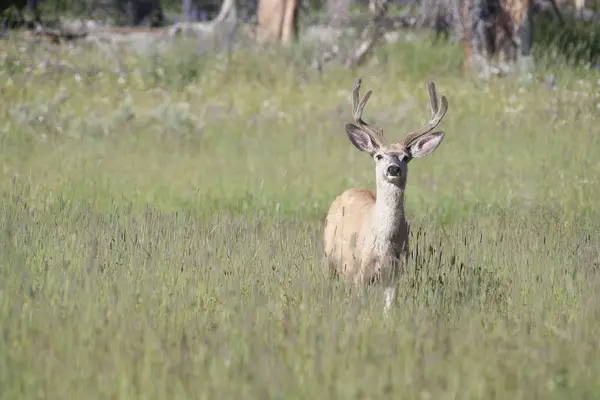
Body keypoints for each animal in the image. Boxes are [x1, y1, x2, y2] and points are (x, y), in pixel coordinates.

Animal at [322, 77, 448, 316]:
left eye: (406, 157)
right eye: (379, 156)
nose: (393, 169)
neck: (383, 244)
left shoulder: (395, 275)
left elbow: (389, 311)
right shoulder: (360, 273)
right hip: (330, 258)